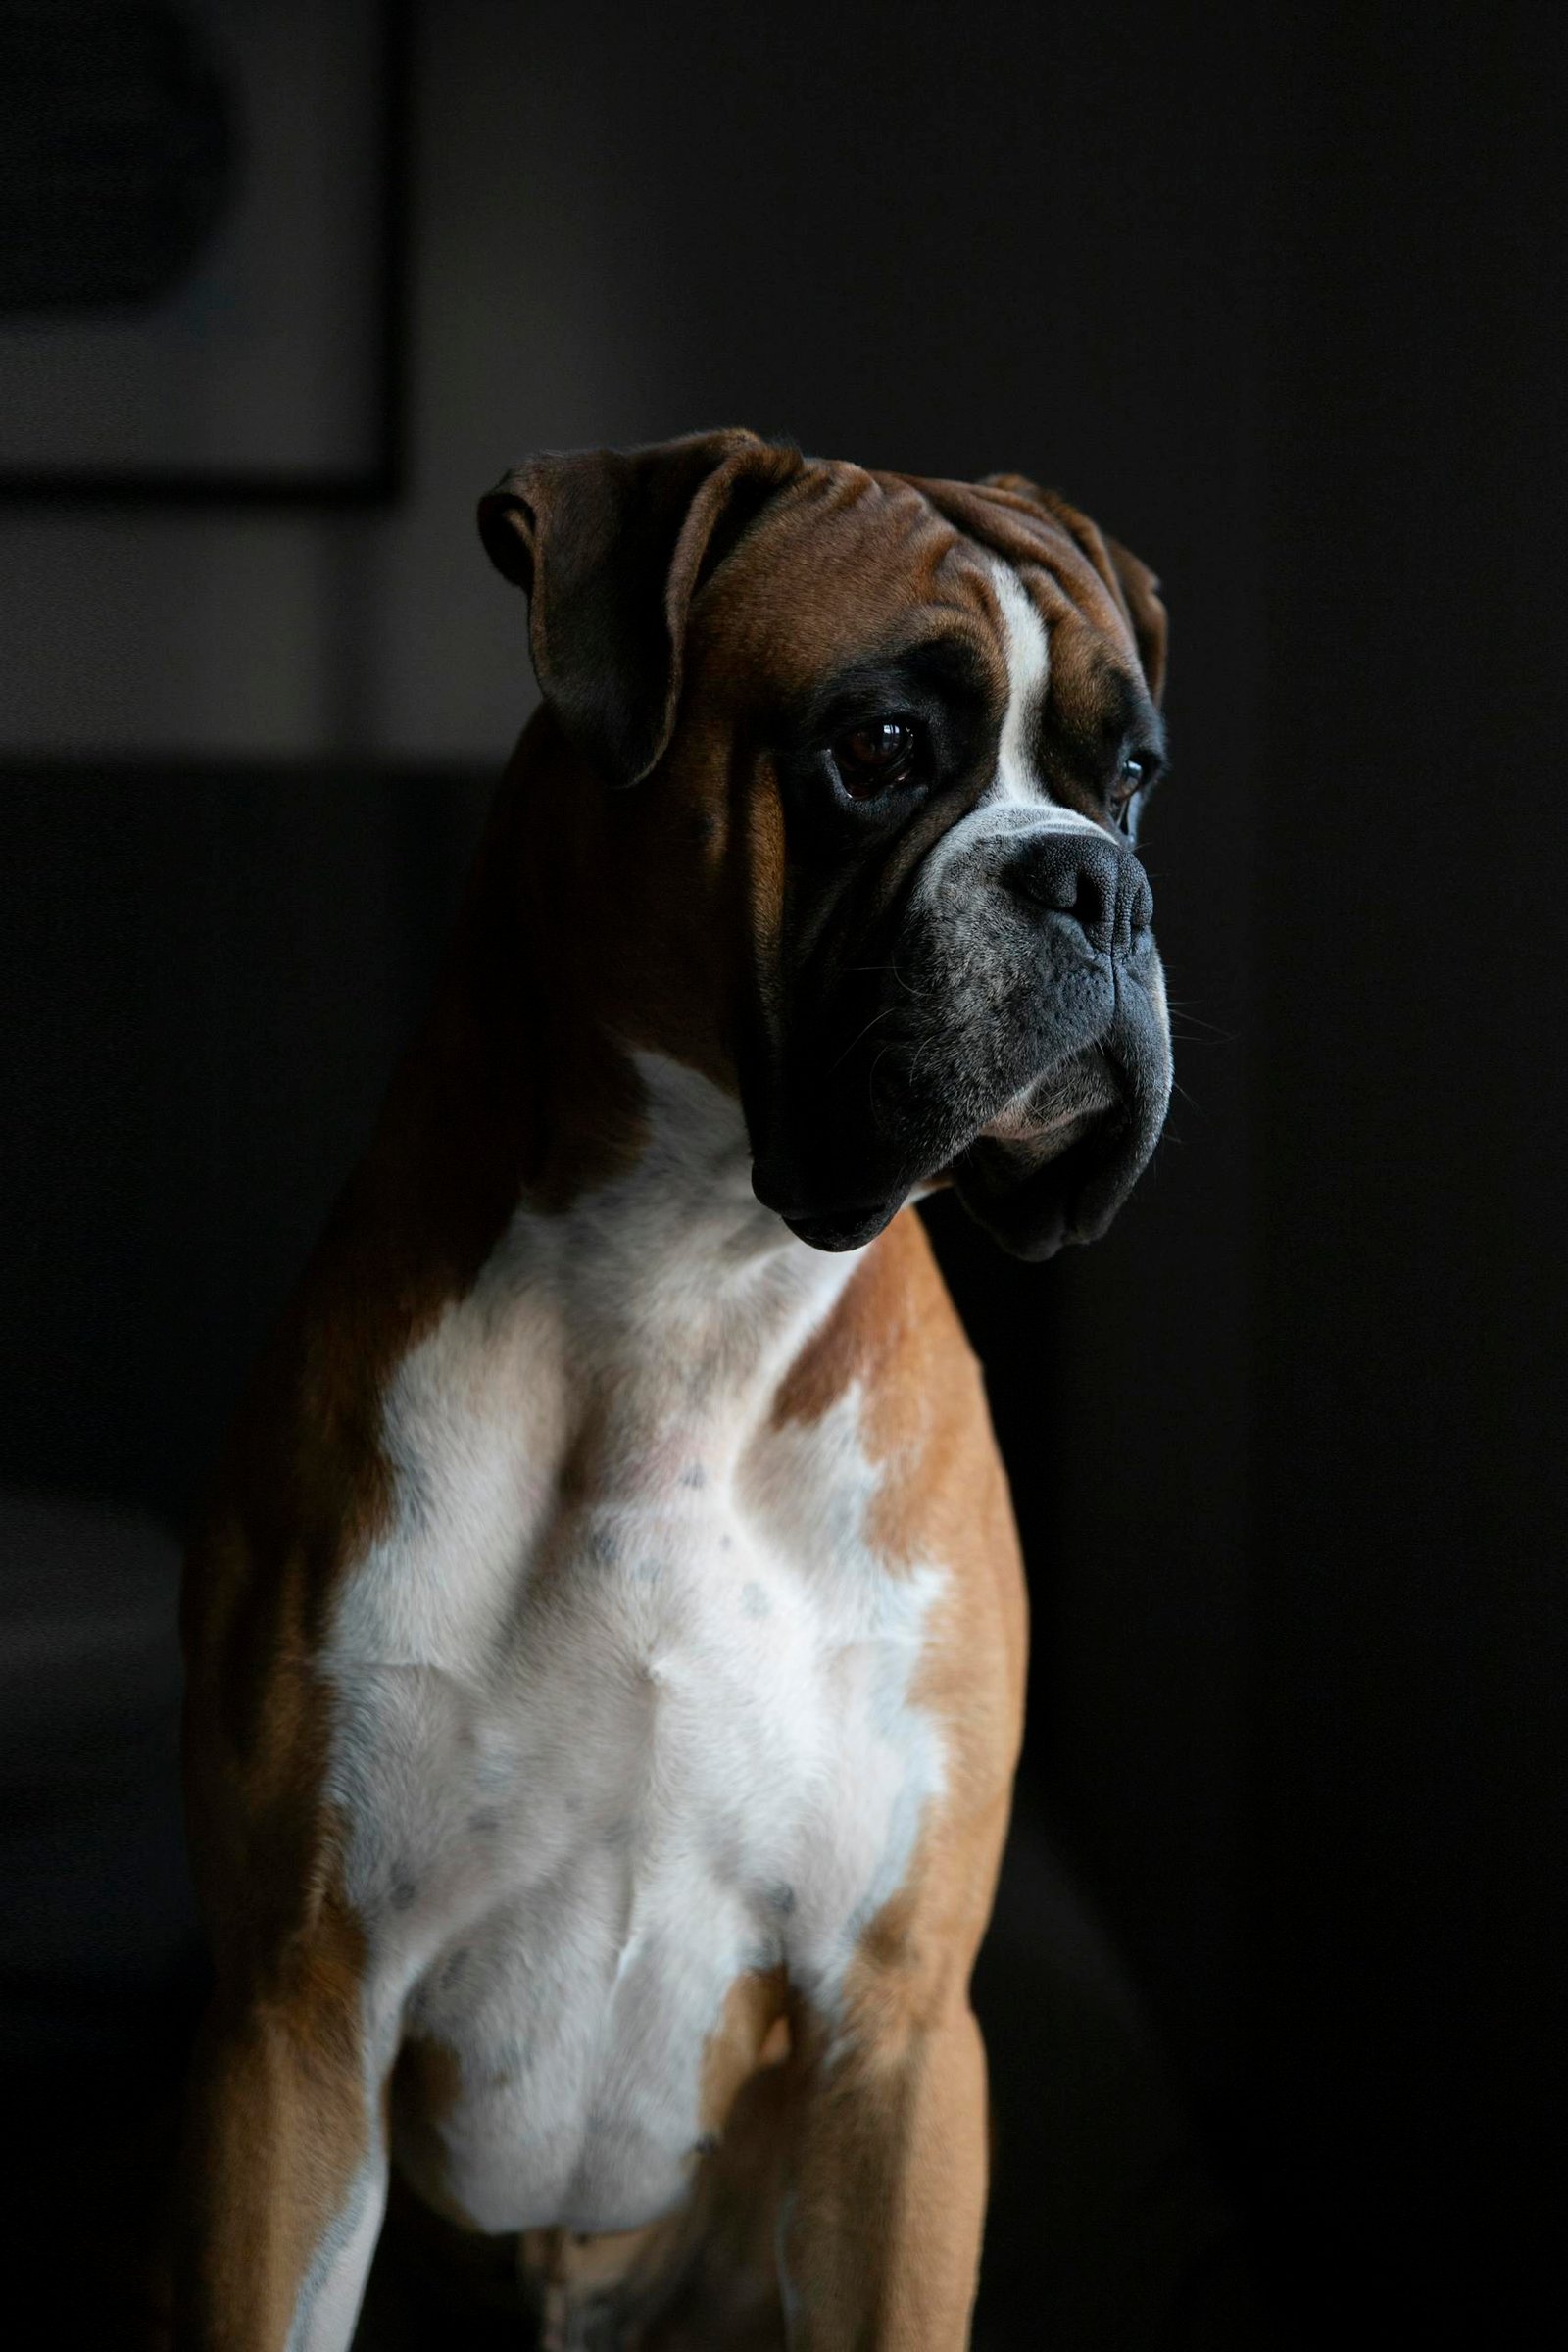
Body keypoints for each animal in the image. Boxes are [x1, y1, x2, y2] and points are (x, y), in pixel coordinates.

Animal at [177, 432, 1170, 2342]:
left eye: (1137, 777)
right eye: (880, 747)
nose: (1101, 881)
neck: (692, 1287)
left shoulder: (897, 2047)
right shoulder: (297, 2024)